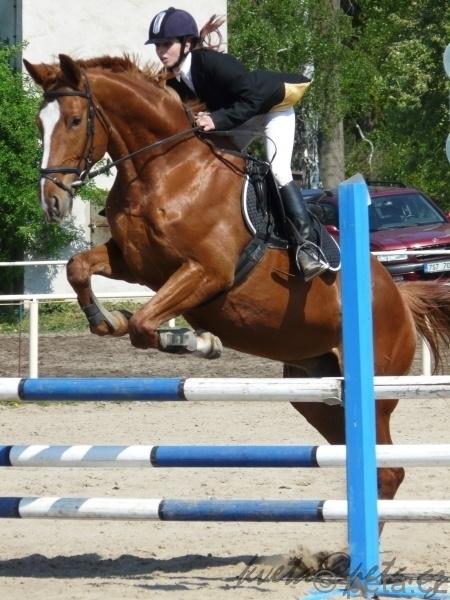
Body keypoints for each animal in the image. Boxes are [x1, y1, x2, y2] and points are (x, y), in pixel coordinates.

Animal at [23, 53, 450, 507]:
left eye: (74, 120)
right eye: (38, 124)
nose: (52, 201)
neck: (162, 169)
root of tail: (400, 297)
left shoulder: (207, 272)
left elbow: (144, 323)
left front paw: (200, 342)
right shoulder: (135, 264)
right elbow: (79, 268)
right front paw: (107, 319)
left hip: (377, 388)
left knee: (389, 470)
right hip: (315, 391)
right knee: (371, 461)